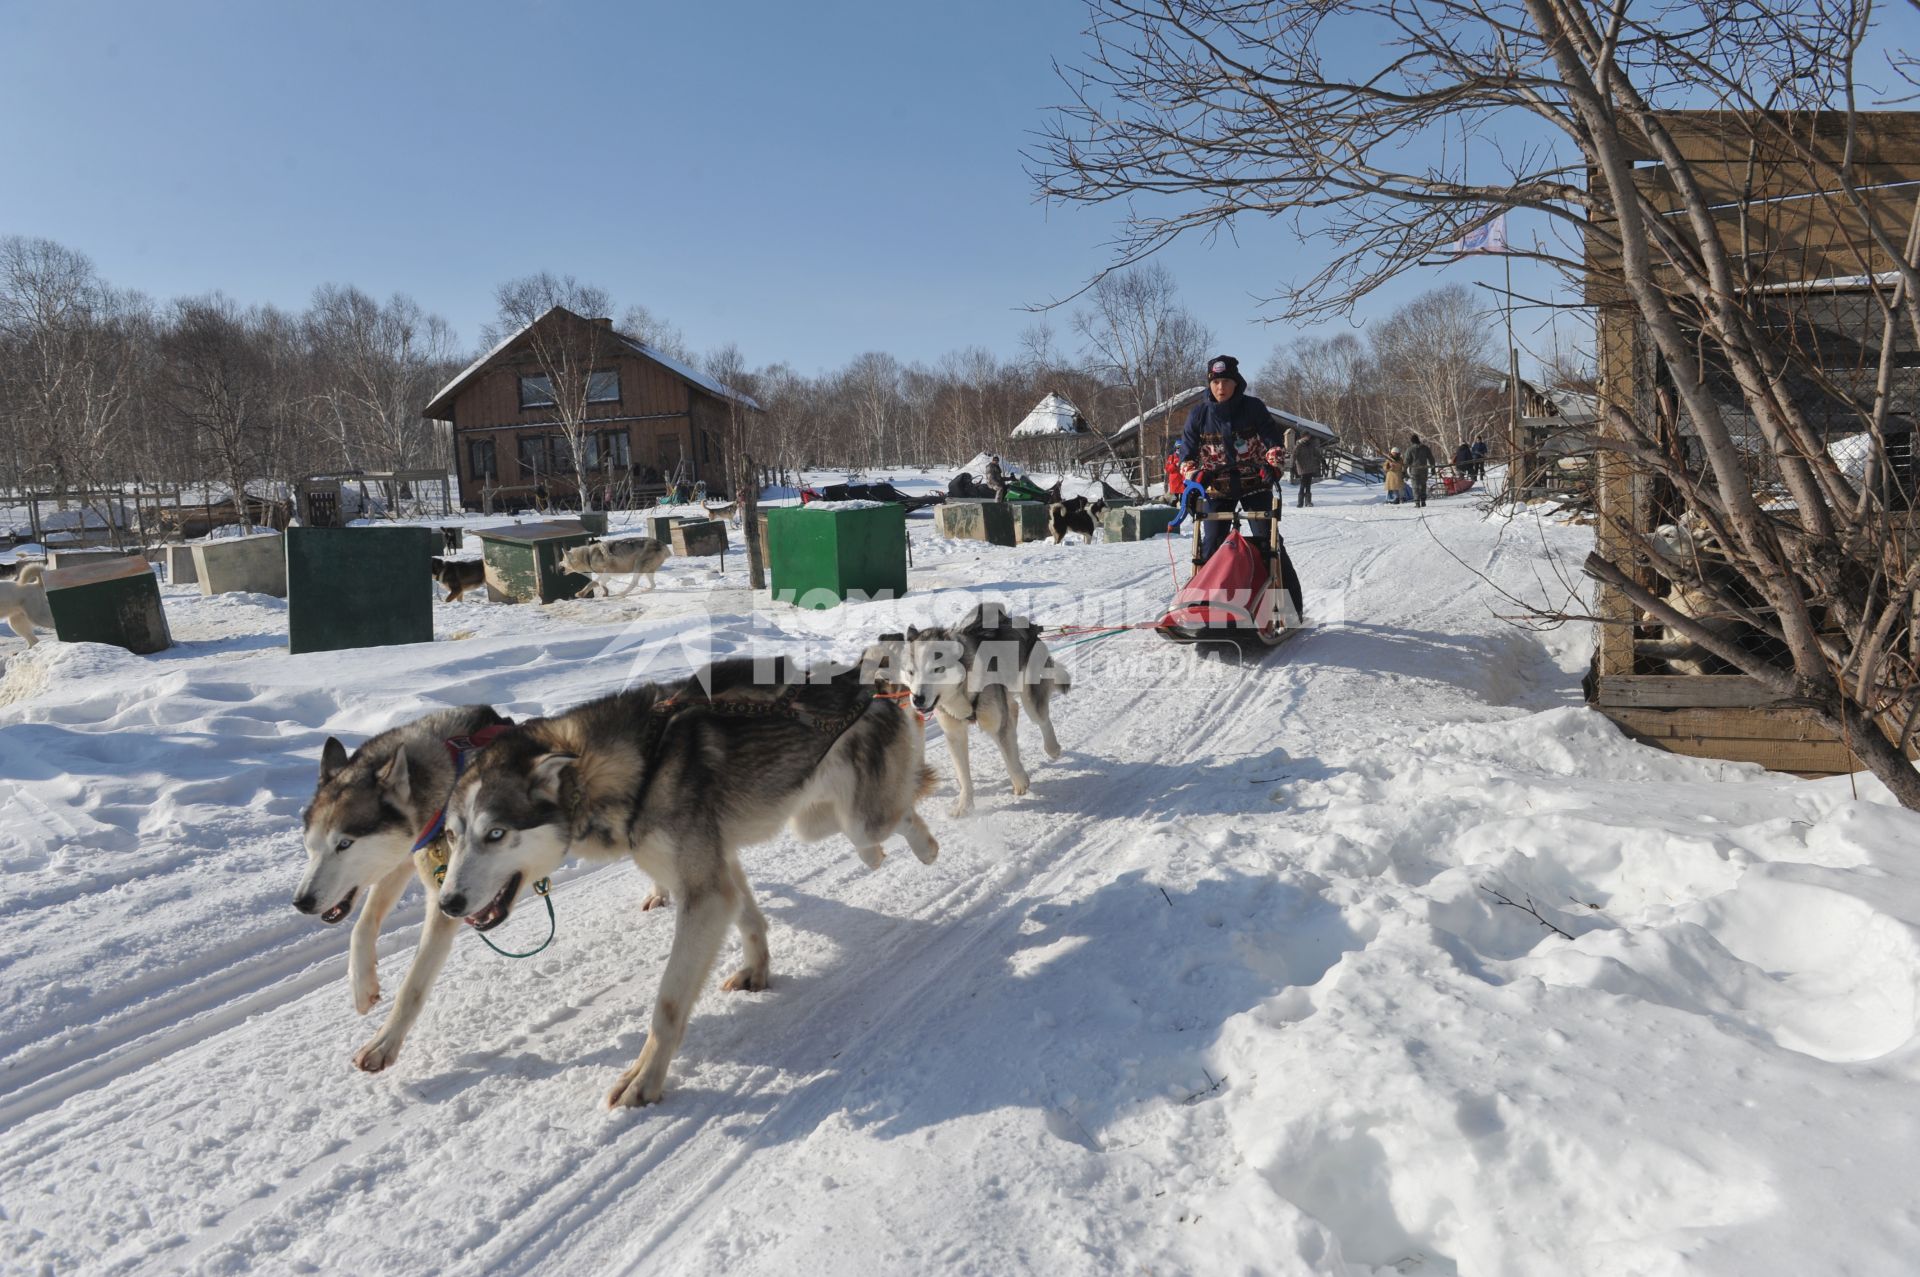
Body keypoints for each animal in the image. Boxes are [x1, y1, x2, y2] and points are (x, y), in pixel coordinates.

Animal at [291, 702, 510, 1067]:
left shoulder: (444, 897)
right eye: (310, 844)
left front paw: (383, 1044)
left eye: (344, 844)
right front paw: (362, 985)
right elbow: (362, 926)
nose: (301, 902)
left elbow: (414, 983)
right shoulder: (403, 859)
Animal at [437, 656, 944, 1106]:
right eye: (452, 835)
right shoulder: (715, 871)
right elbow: (750, 920)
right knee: (880, 827)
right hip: (815, 819)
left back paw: (925, 847)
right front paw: (758, 971)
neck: (639, 762)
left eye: (496, 833)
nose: (447, 903)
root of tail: (870, 682)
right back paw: (885, 853)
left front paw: (645, 1080)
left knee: (901, 813)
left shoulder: (703, 893)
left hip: (859, 819)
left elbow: (667, 1004)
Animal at [894, 599, 1067, 818]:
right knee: (1013, 710)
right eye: (911, 672)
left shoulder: (996, 724)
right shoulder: (955, 734)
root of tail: (1024, 623)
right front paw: (964, 805)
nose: (917, 699)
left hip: (1030, 696)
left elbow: (1009, 756)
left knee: (1041, 719)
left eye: (937, 669)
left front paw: (1020, 781)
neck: (962, 689)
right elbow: (963, 775)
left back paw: (1052, 747)